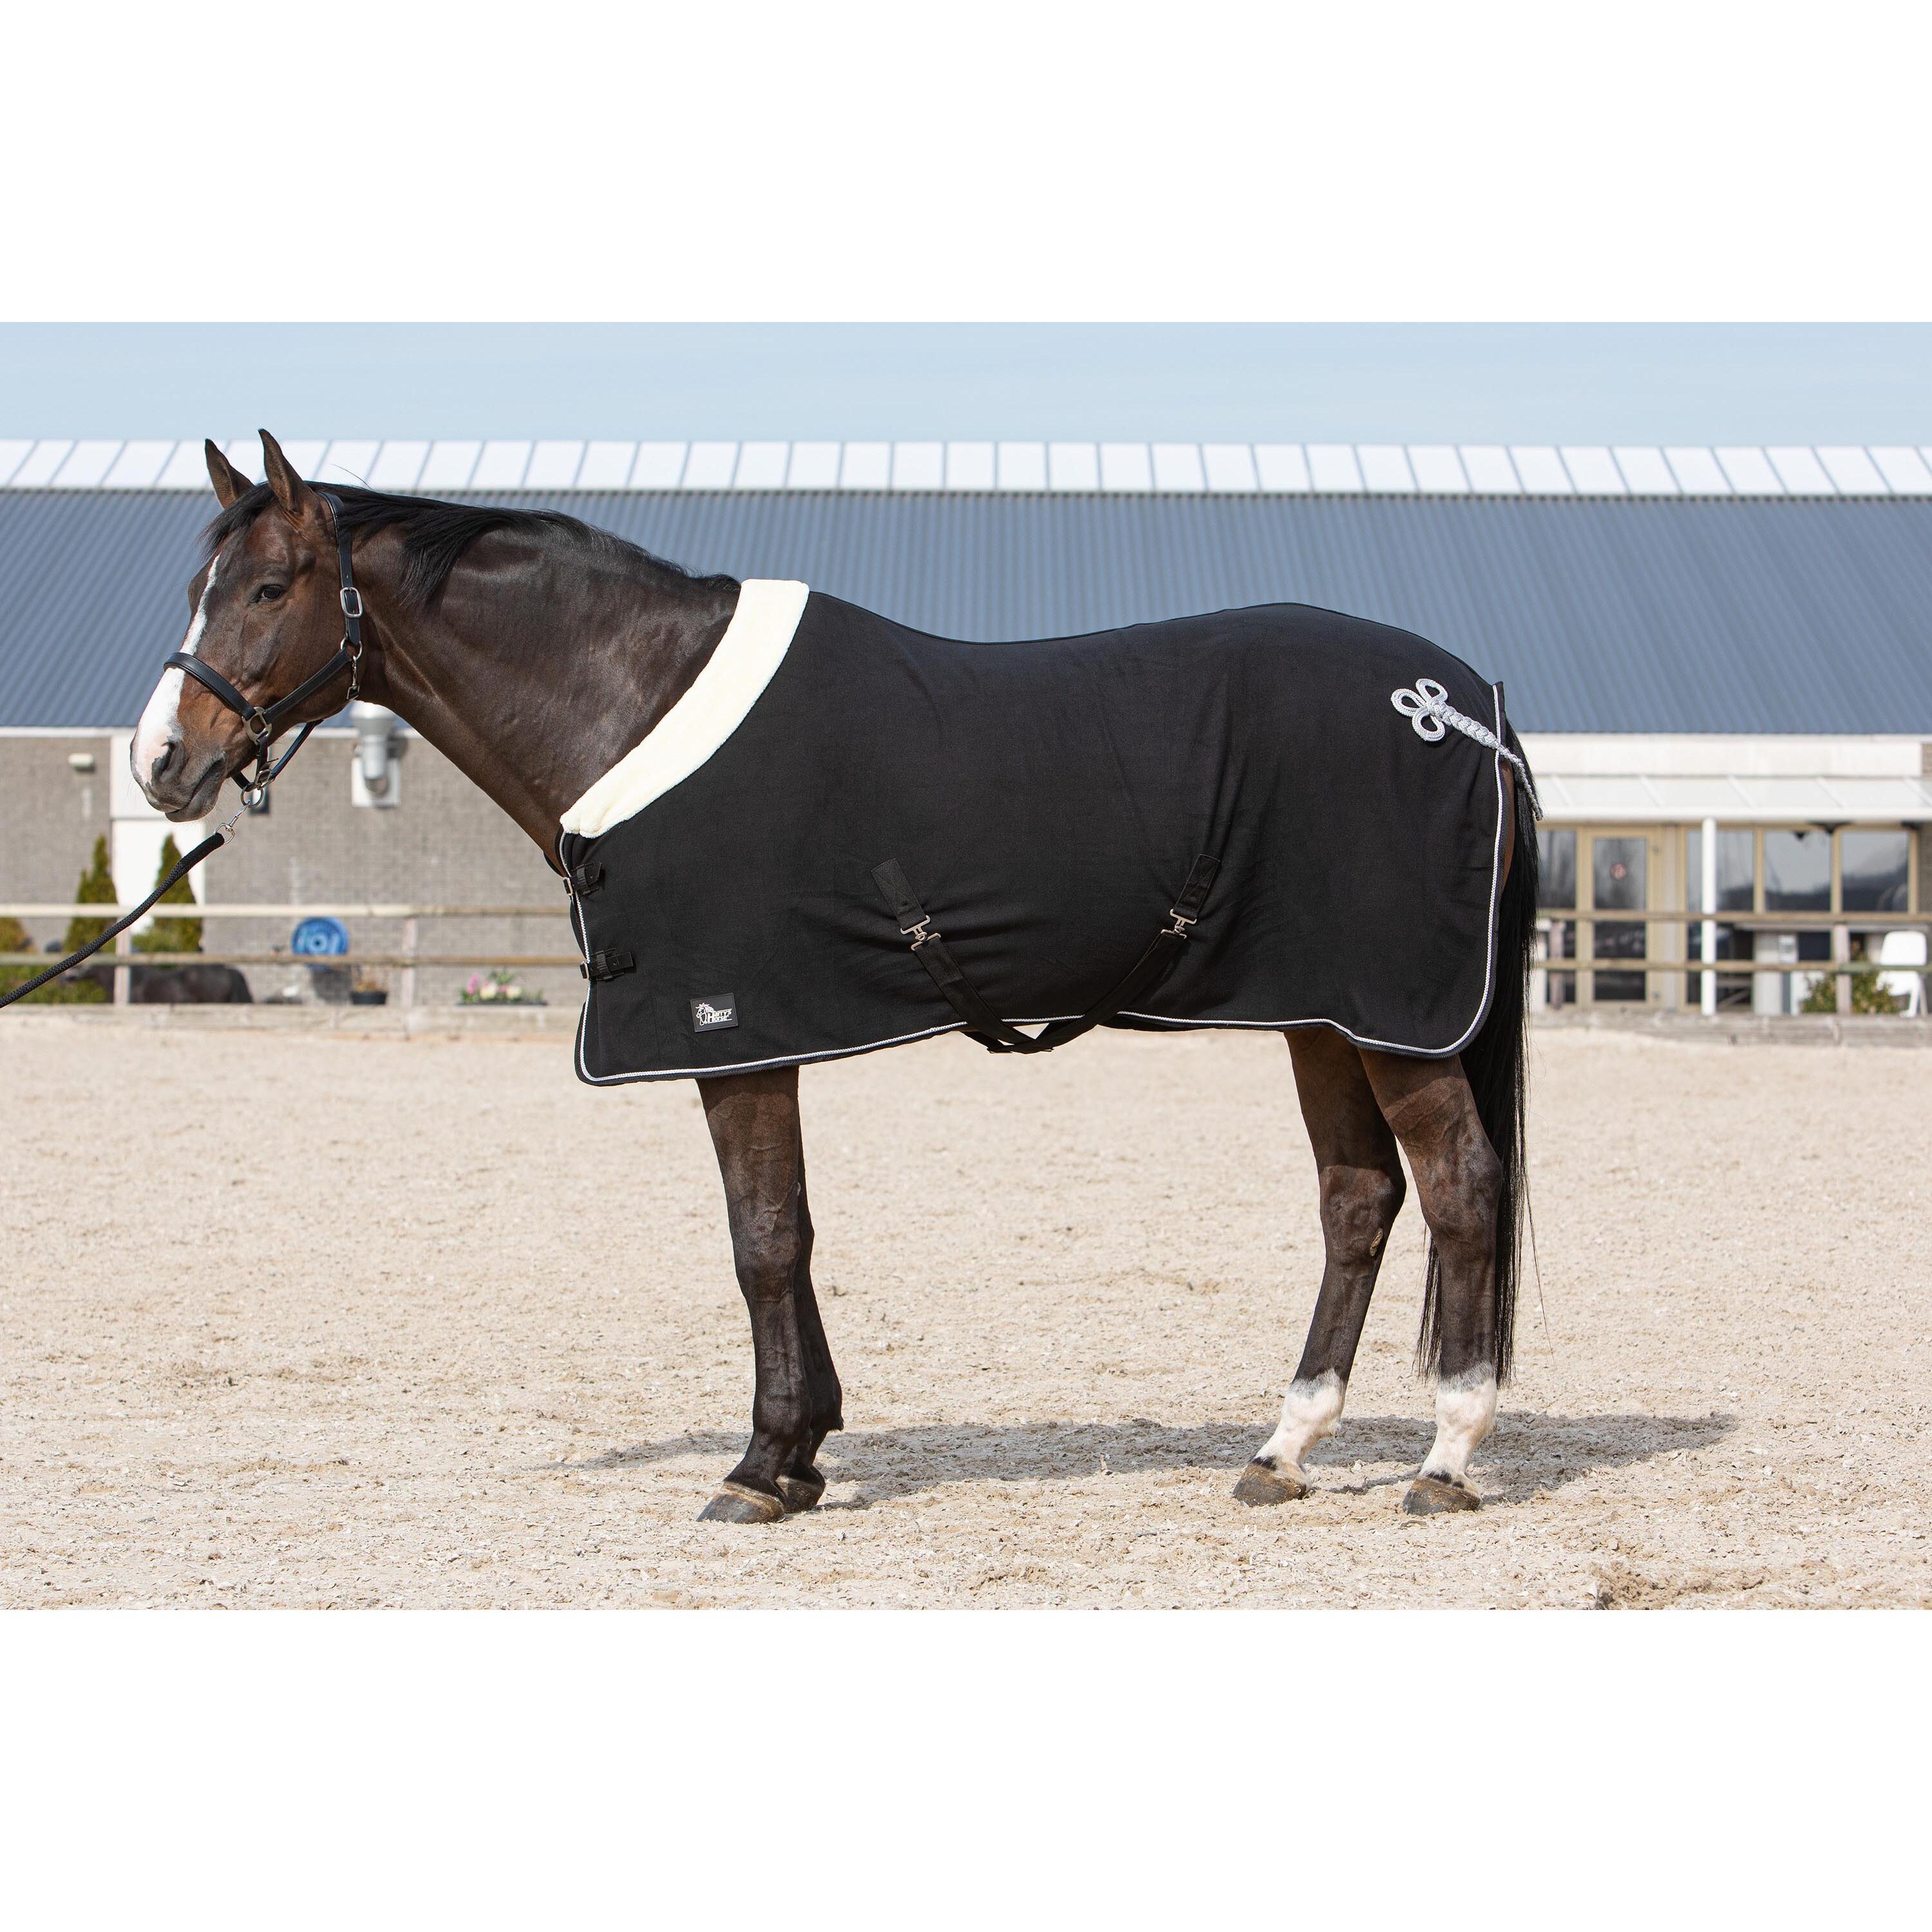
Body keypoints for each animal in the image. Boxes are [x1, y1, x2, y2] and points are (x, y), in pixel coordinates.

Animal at [131, 431, 1537, 1525]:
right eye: (195, 588)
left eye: (268, 587)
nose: (161, 764)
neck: (636, 705)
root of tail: (1457, 703)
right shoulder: (763, 1040)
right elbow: (791, 1234)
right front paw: (803, 1452)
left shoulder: (735, 1036)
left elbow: (763, 1240)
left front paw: (761, 1465)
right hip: (1324, 1015)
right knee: (1359, 1202)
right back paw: (1283, 1449)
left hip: (1394, 1020)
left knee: (1461, 1188)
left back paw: (1446, 1457)